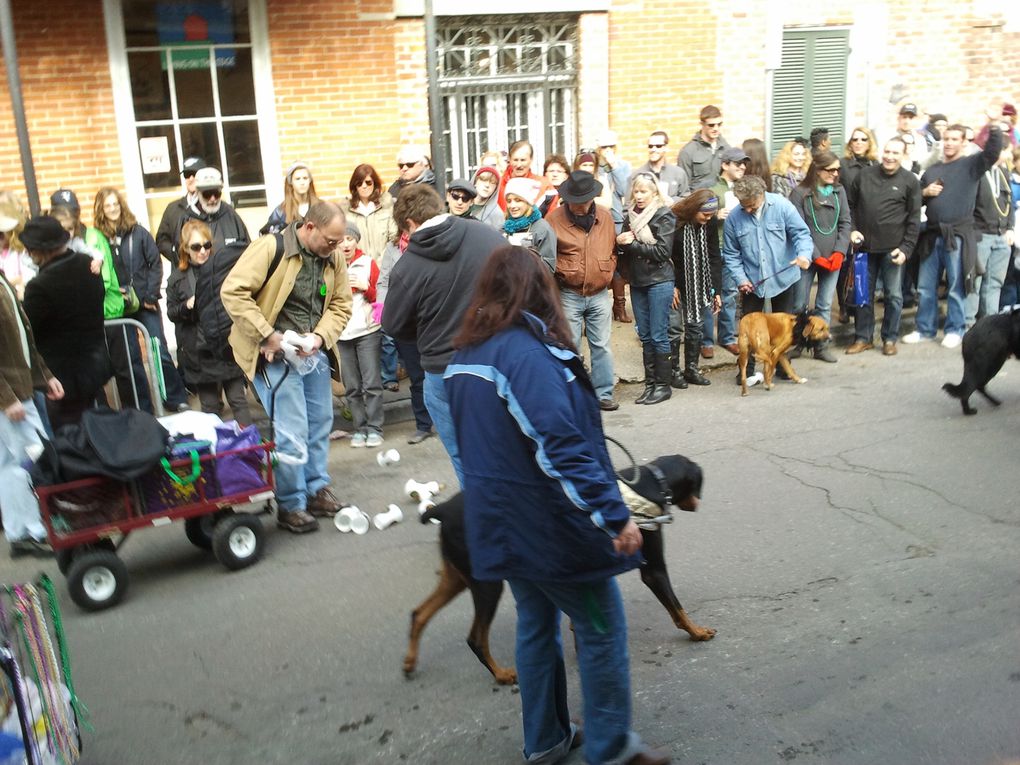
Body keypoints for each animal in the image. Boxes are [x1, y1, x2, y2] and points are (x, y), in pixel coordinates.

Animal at [401, 454, 714, 689]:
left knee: (419, 614)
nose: (697, 504)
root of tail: (442, 509)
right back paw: (501, 675)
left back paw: (409, 662)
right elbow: (677, 609)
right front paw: (697, 632)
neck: (651, 483)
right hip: (486, 584)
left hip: (456, 577)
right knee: (475, 638)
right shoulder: (653, 570)